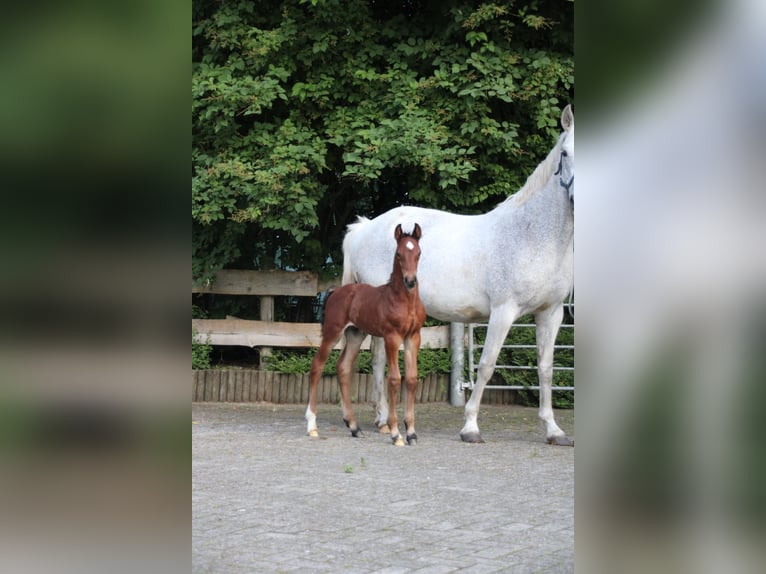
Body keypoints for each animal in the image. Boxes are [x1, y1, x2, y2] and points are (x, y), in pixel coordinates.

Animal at [344, 106, 576, 448]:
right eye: (564, 153)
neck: (530, 235)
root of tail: (364, 228)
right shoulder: (503, 312)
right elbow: (487, 365)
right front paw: (470, 427)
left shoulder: (551, 313)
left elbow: (546, 368)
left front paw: (554, 430)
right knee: (376, 361)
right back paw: (386, 420)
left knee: (376, 359)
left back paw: (383, 421)